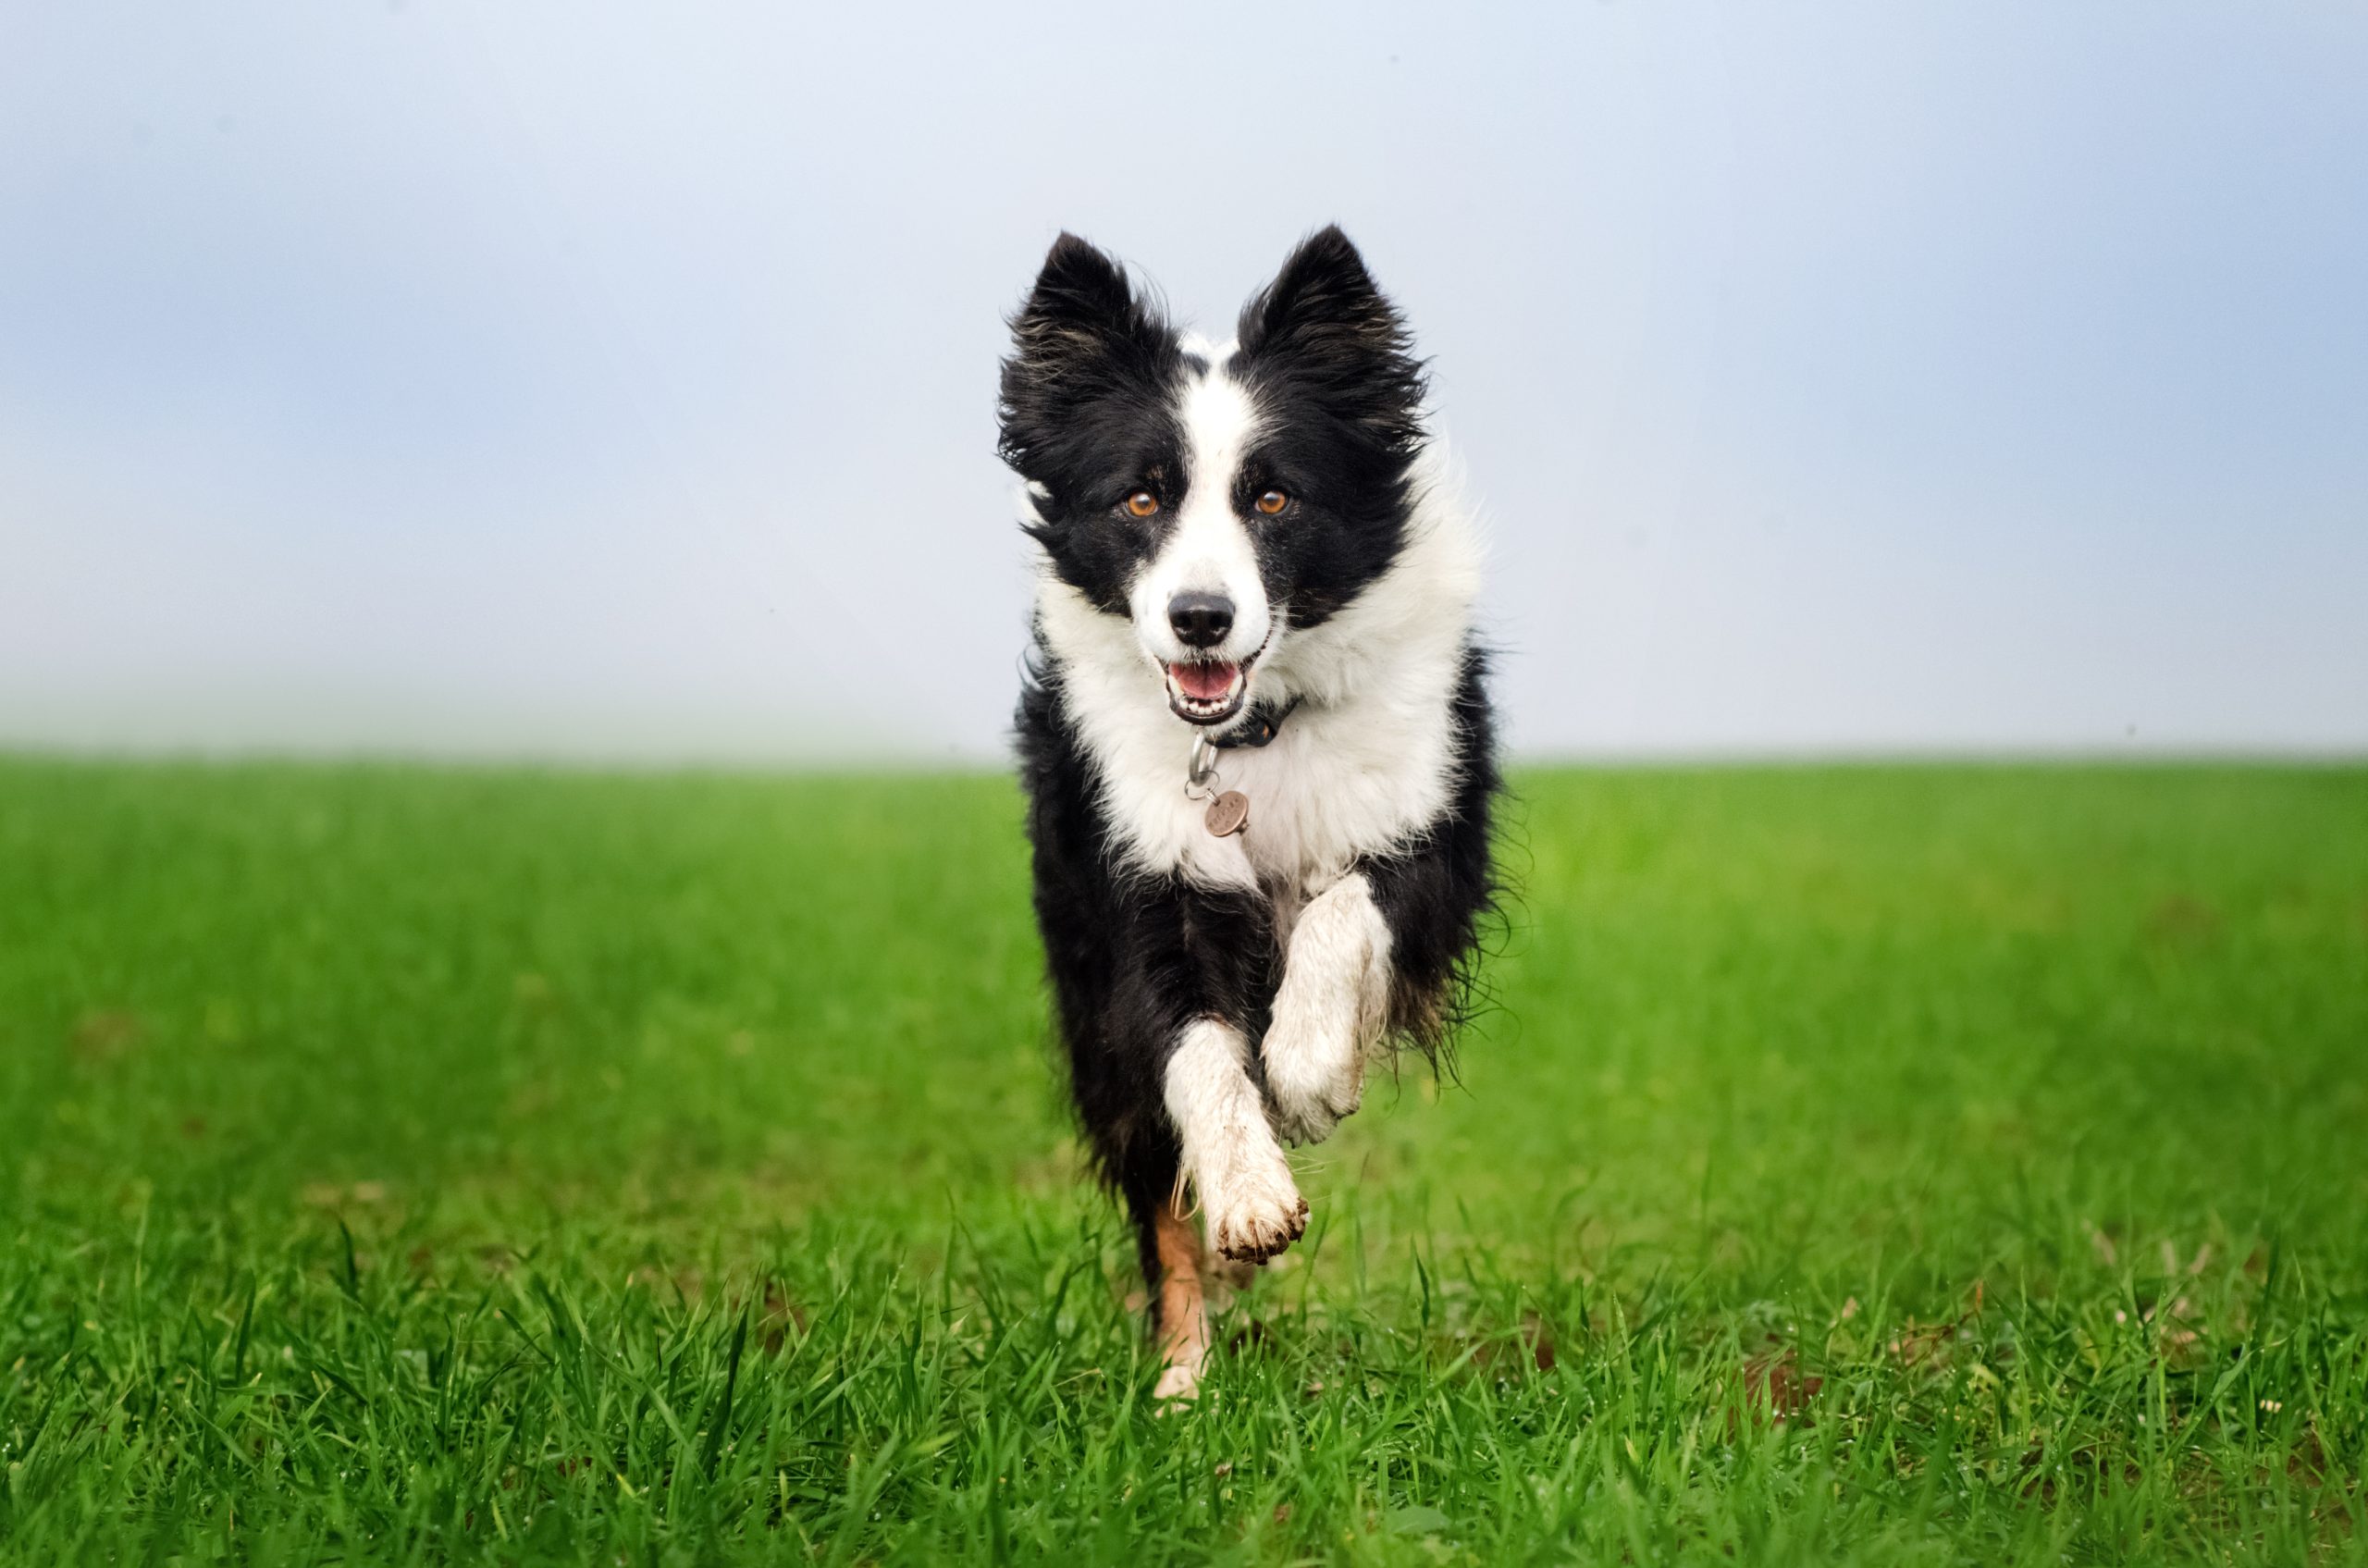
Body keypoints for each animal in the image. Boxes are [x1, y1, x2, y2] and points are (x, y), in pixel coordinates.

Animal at [999, 223, 1496, 1401]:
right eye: (1141, 499)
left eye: (1273, 500)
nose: (1199, 619)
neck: (1252, 732)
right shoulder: (1141, 883)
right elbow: (1197, 1057)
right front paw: (1248, 1194)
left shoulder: (1435, 827)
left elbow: (1341, 911)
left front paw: (1314, 1073)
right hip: (1086, 1014)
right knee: (1156, 1199)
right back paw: (1181, 1383)